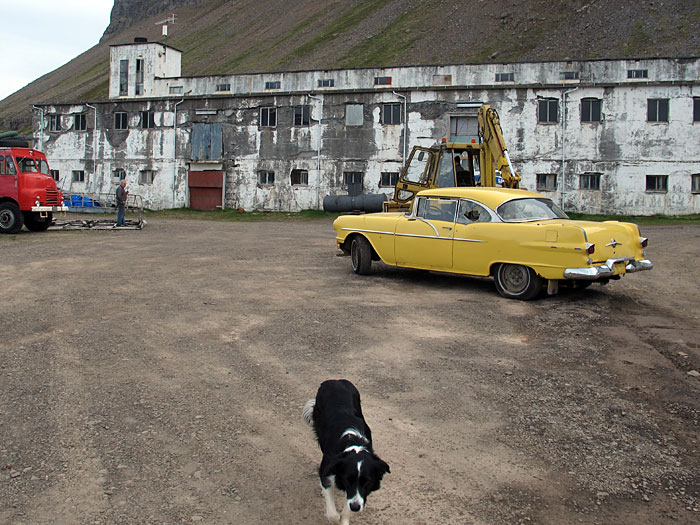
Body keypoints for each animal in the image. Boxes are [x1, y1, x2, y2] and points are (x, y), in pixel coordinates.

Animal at [300, 378, 388, 520]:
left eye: (367, 482)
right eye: (348, 479)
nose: (356, 507)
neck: (353, 443)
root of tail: (335, 380)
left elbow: (347, 509)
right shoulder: (327, 468)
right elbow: (333, 514)